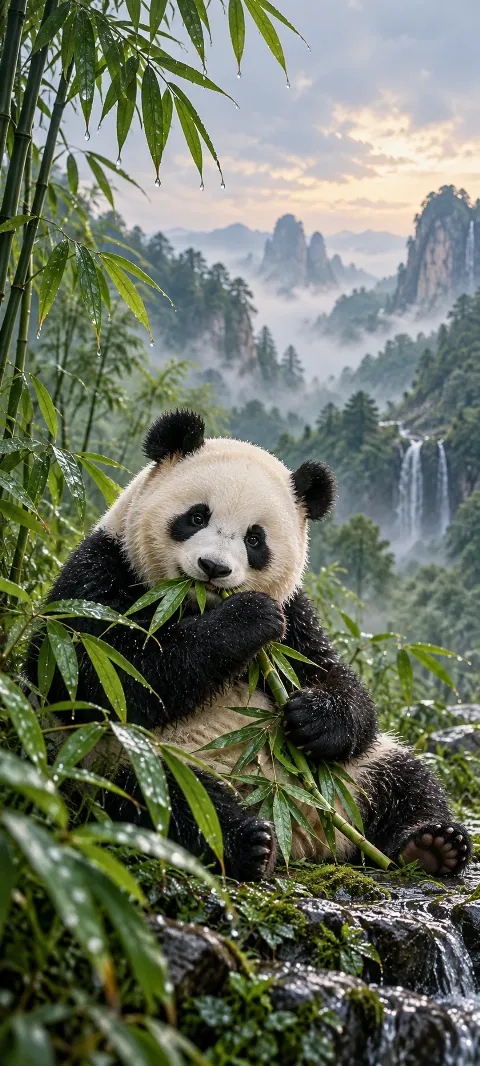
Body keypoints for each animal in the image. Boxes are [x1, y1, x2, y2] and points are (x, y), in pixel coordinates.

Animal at [25, 409, 471, 881]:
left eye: (255, 539)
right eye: (197, 517)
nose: (213, 567)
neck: (191, 603)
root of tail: (300, 828)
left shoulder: (295, 618)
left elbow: (334, 678)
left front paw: (313, 717)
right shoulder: (103, 568)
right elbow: (97, 672)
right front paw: (246, 619)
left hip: (352, 777)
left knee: (407, 777)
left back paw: (434, 845)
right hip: (112, 755)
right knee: (158, 797)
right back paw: (248, 842)